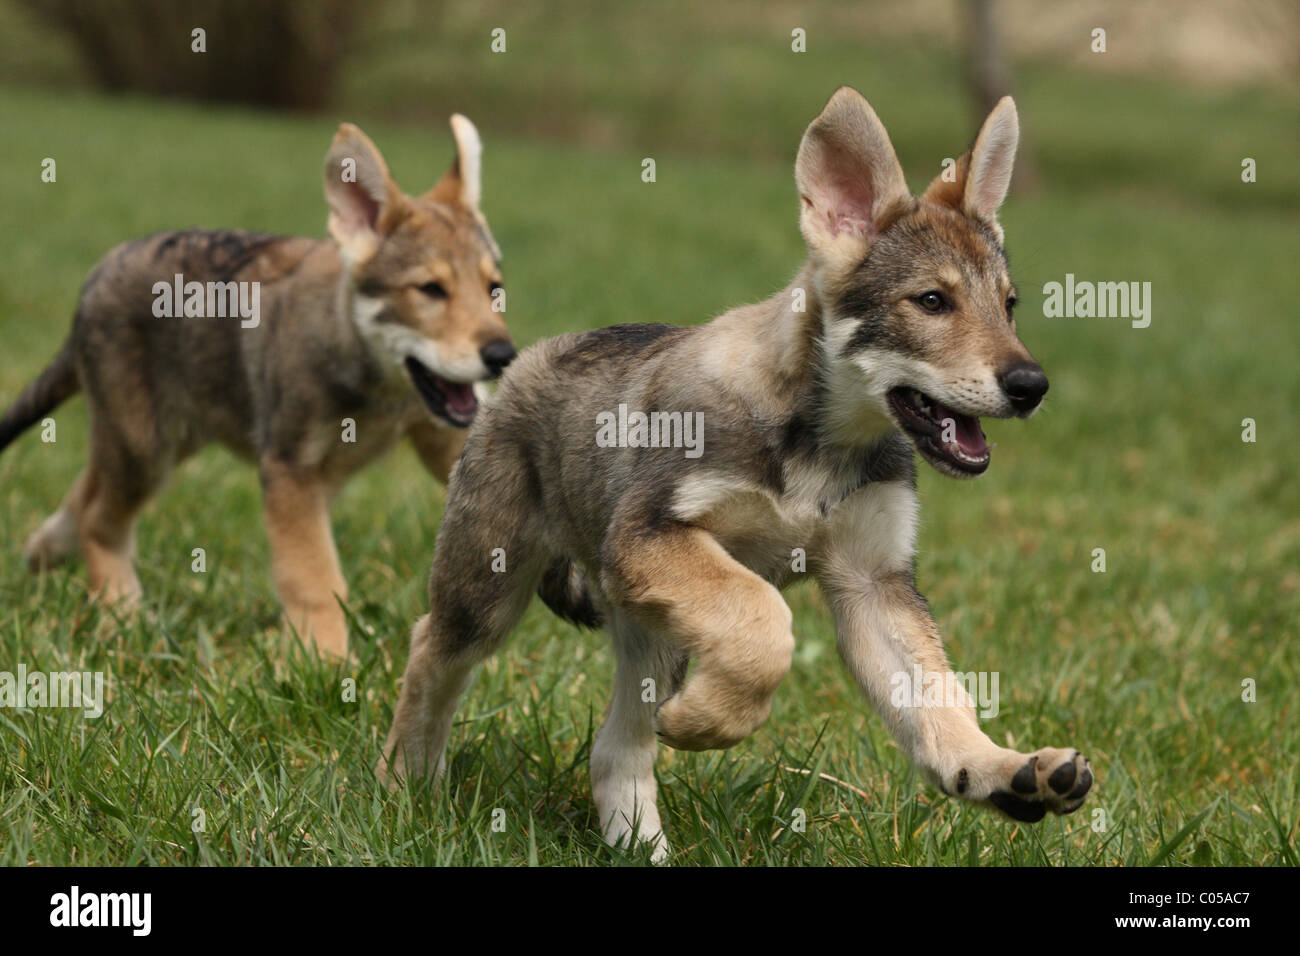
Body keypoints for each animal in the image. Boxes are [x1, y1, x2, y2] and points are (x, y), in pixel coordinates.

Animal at [0, 113, 517, 658]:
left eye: (493, 290)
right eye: (431, 290)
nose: (502, 355)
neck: (381, 391)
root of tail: (96, 277)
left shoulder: (444, 439)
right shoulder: (290, 470)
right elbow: (313, 577)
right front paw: (325, 661)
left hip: (159, 441)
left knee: (84, 495)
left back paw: (45, 554)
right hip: (144, 448)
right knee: (99, 518)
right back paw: (121, 611)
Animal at [379, 89, 1092, 858]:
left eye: (1010, 305)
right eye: (933, 301)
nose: (1031, 385)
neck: (821, 446)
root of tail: (524, 361)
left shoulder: (873, 585)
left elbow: (939, 703)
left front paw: (997, 768)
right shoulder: (654, 536)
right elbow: (767, 619)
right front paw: (708, 725)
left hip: (651, 633)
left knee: (614, 751)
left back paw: (643, 851)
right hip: (490, 590)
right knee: (429, 652)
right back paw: (405, 788)